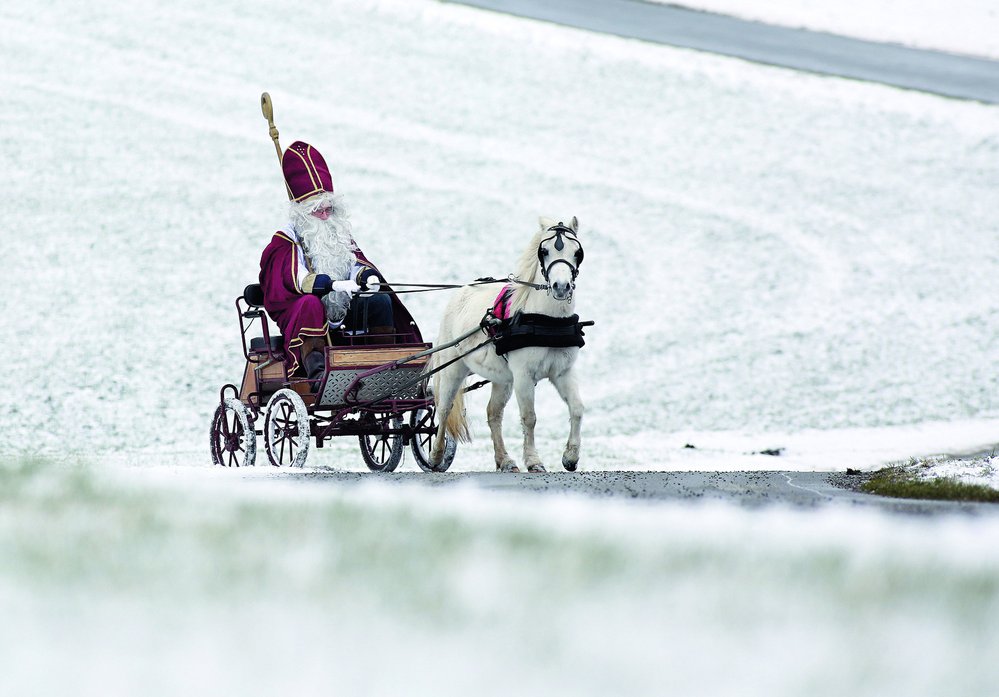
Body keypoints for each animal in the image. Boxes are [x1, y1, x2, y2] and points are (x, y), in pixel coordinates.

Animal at [430, 215, 584, 470]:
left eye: (577, 252)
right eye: (544, 251)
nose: (561, 287)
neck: (547, 321)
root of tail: (462, 291)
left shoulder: (563, 372)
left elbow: (578, 408)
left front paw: (570, 457)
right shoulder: (523, 376)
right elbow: (529, 417)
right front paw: (534, 461)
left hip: (502, 379)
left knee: (493, 414)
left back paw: (504, 460)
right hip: (453, 367)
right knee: (443, 409)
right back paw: (435, 456)